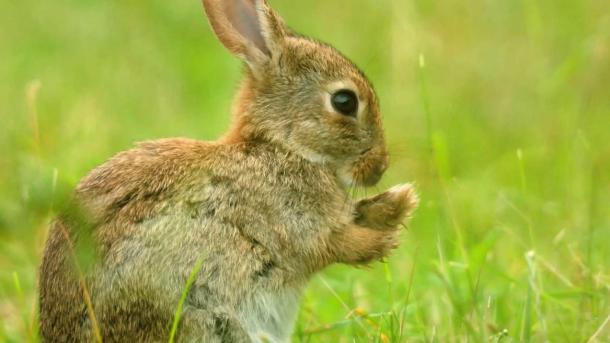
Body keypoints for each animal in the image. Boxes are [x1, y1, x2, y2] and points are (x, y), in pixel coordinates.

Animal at [39, 0, 418, 343]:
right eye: (344, 101)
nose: (379, 167)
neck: (282, 147)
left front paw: (395, 203)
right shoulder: (295, 224)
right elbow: (334, 246)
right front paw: (389, 232)